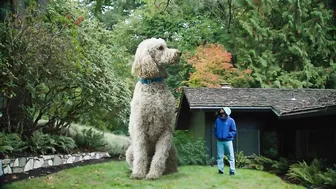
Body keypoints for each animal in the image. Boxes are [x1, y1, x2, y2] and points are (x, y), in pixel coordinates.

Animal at [126, 37, 182, 180]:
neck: (153, 84)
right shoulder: (140, 129)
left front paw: (153, 174)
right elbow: (141, 155)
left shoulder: (166, 130)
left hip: (172, 149)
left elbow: (159, 156)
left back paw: (168, 171)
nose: (179, 53)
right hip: (129, 151)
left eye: (166, 46)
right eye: (160, 48)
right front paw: (139, 174)